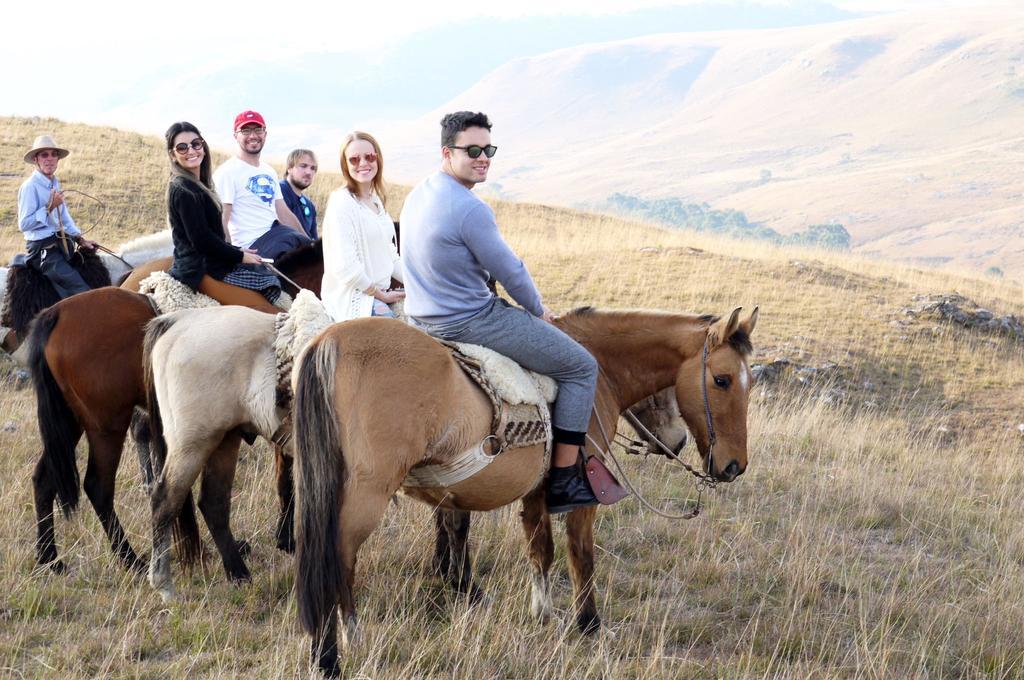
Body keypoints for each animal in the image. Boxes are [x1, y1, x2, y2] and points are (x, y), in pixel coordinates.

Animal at [24, 241, 323, 569]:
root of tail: (57, 313)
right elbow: (286, 479)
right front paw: (286, 539)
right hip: (106, 425)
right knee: (98, 486)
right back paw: (130, 558)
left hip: (70, 420)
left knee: (44, 478)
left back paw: (49, 557)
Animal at [292, 303, 757, 675]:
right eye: (721, 380)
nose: (733, 466)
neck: (598, 368)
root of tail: (328, 341)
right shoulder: (584, 492)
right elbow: (580, 554)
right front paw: (589, 624)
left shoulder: (535, 495)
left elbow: (539, 550)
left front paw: (542, 612)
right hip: (366, 495)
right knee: (337, 559)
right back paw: (334, 652)